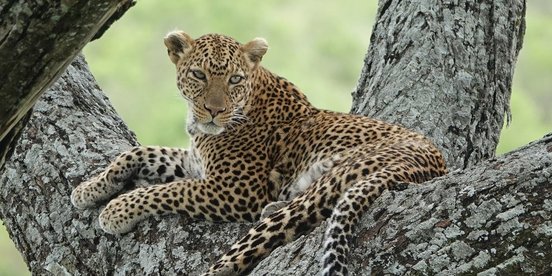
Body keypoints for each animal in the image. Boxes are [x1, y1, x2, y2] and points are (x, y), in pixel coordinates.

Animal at [70, 31, 448, 274]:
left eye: (235, 79)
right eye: (198, 74)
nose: (213, 111)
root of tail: (434, 162)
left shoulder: (234, 190)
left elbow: (169, 190)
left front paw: (116, 211)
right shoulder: (194, 163)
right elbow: (140, 153)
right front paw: (89, 190)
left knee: (234, 258)